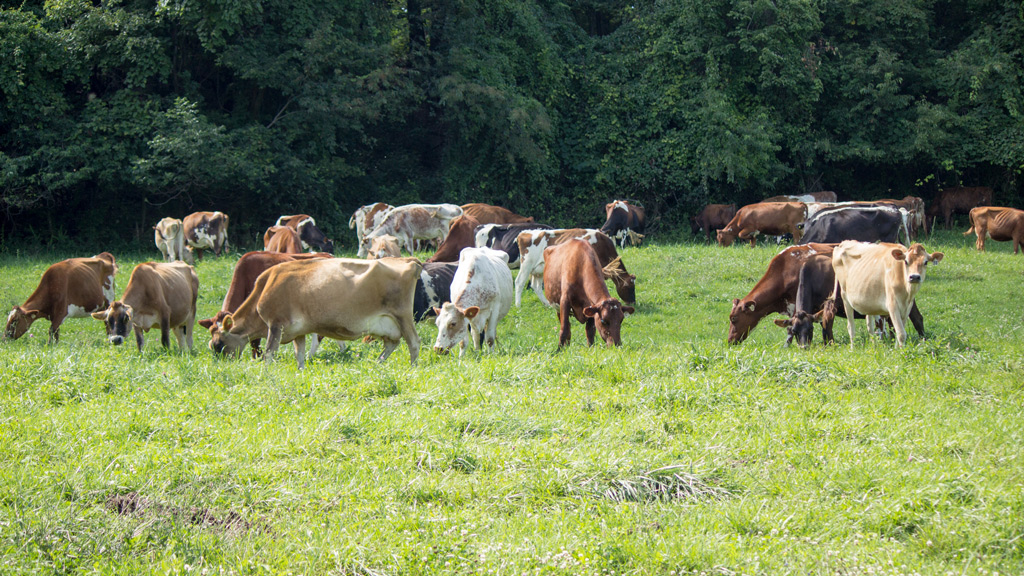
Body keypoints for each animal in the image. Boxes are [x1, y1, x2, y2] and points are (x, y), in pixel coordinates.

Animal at [207, 256, 419, 366]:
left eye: (218, 344)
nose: (221, 366)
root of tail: (407, 261)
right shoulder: (298, 332)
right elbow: (299, 354)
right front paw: (301, 370)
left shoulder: (275, 325)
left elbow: (268, 354)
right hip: (387, 324)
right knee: (392, 344)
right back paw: (378, 363)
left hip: (402, 316)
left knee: (413, 343)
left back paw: (412, 367)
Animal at [774, 252, 929, 344]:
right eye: (794, 331)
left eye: (810, 329)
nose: (804, 347)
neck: (812, 275)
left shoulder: (831, 306)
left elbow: (826, 328)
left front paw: (829, 345)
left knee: (917, 318)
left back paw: (923, 340)